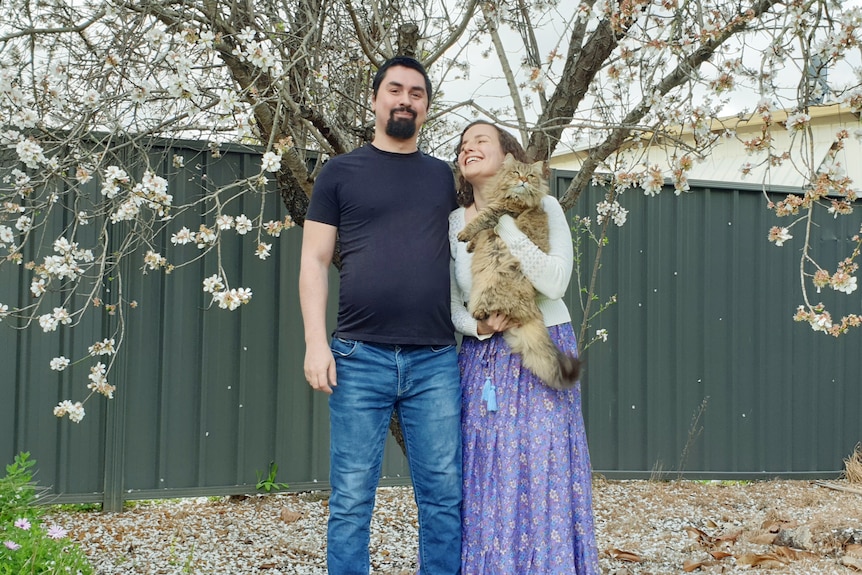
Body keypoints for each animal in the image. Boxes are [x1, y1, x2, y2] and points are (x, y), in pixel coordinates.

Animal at [460, 153, 580, 392]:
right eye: (516, 172)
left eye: (530, 176)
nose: (523, 179)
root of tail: (532, 310)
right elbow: (480, 233)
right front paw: (470, 245)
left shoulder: (500, 210)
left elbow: (480, 220)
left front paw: (464, 234)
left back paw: (479, 312)